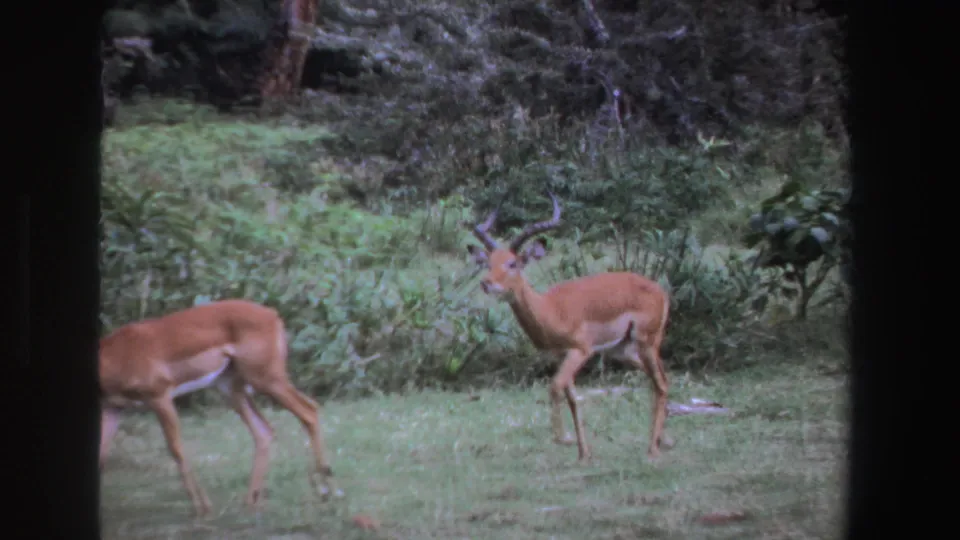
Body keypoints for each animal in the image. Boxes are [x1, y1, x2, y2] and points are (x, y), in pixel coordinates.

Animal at [99, 299, 340, 516]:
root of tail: (272, 315)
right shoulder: (112, 408)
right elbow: (102, 455)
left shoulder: (160, 397)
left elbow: (176, 450)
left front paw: (202, 508)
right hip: (232, 388)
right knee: (265, 430)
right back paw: (251, 500)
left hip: (265, 378)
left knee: (309, 411)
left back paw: (327, 489)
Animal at [466, 193, 671, 462]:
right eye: (488, 263)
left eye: (512, 263)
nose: (486, 283)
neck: (551, 309)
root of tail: (661, 292)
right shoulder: (561, 355)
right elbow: (572, 398)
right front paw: (583, 454)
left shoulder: (580, 351)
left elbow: (554, 387)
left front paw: (563, 439)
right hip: (625, 351)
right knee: (661, 379)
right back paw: (662, 441)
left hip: (646, 342)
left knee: (660, 384)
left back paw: (653, 449)